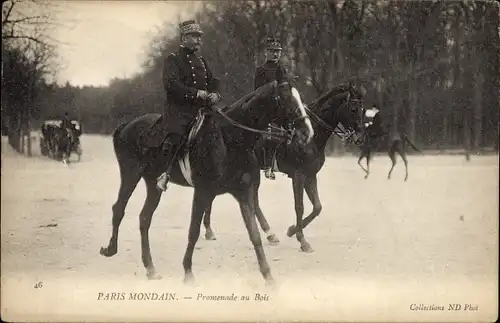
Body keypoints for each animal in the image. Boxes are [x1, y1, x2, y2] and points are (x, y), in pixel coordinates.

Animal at [97, 80, 312, 286]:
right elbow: (194, 231)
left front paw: (268, 276)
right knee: (119, 209)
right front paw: (188, 272)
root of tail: (126, 125)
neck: (230, 140)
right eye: (287, 100)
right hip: (130, 175)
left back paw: (150, 268)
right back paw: (110, 249)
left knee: (144, 218)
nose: (307, 133)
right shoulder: (203, 192)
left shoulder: (244, 193)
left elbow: (254, 234)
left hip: (153, 184)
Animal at [201, 83, 366, 253]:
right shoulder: (299, 176)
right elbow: (299, 206)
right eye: (354, 109)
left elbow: (317, 207)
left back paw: (269, 234)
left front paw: (292, 230)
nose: (360, 137)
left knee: (253, 201)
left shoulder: (310, 175)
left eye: (363, 109)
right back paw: (209, 230)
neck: (311, 136)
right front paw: (302, 240)